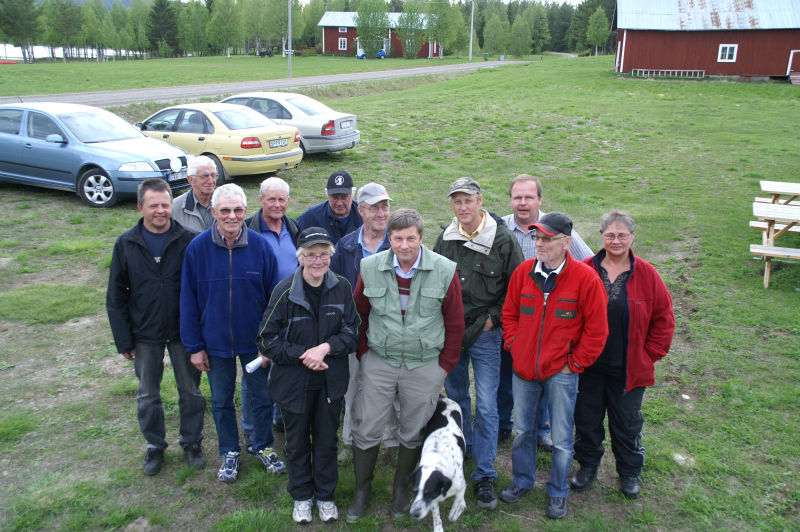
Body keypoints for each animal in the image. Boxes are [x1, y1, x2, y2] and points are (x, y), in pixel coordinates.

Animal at [406, 394, 468, 532]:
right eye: (414, 490)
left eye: (429, 492)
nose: (414, 513)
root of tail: (442, 398)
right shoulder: (433, 501)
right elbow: (436, 515)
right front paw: (438, 528)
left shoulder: (461, 485)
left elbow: (459, 500)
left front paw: (455, 512)